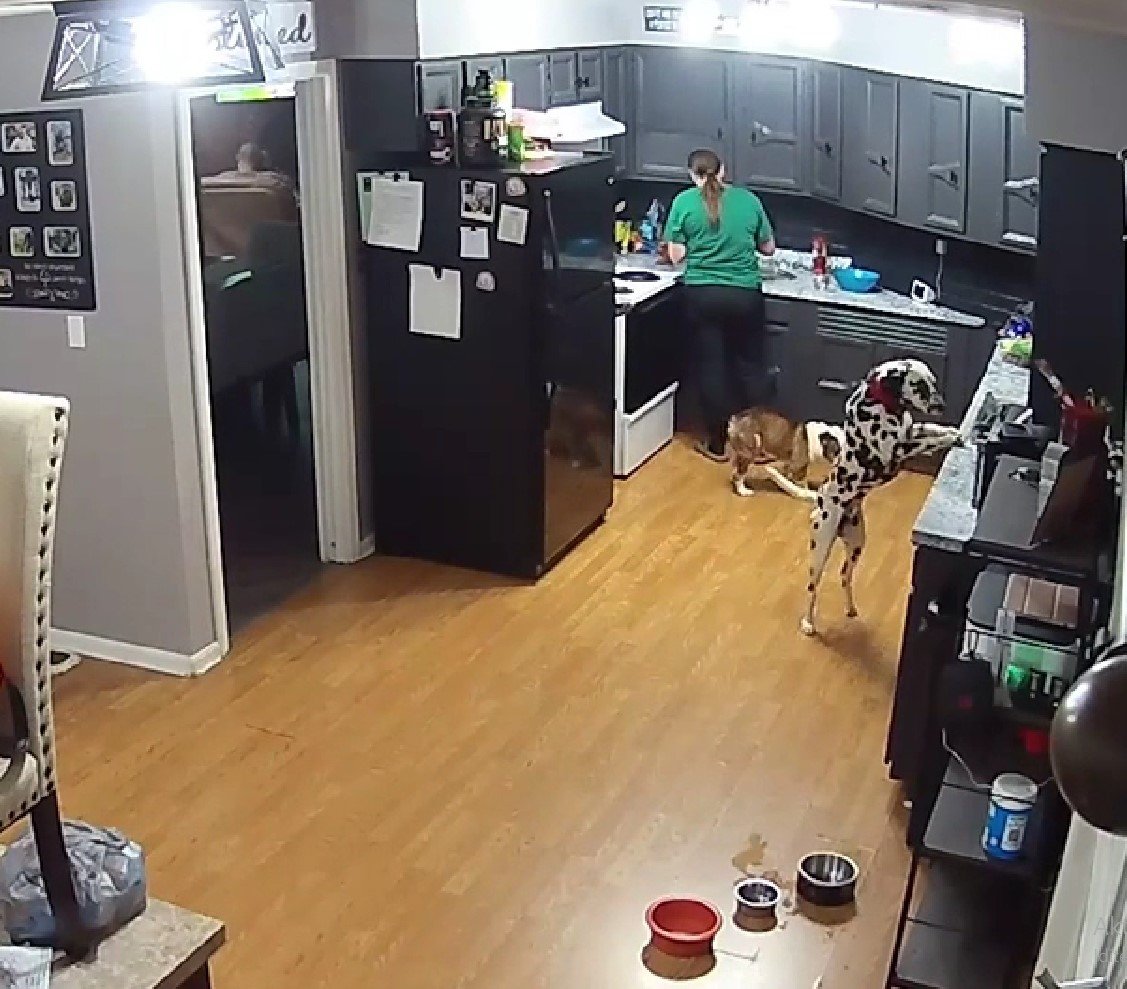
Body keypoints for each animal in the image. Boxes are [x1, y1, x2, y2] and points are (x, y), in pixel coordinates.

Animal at [802, 360, 960, 639]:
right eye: (919, 386)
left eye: (933, 382)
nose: (941, 406)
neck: (879, 400)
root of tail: (820, 500)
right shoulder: (898, 450)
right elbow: (932, 439)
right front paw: (951, 437)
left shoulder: (912, 431)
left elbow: (931, 430)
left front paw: (953, 430)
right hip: (820, 549)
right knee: (812, 587)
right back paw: (808, 622)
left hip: (856, 547)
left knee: (845, 577)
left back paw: (851, 608)